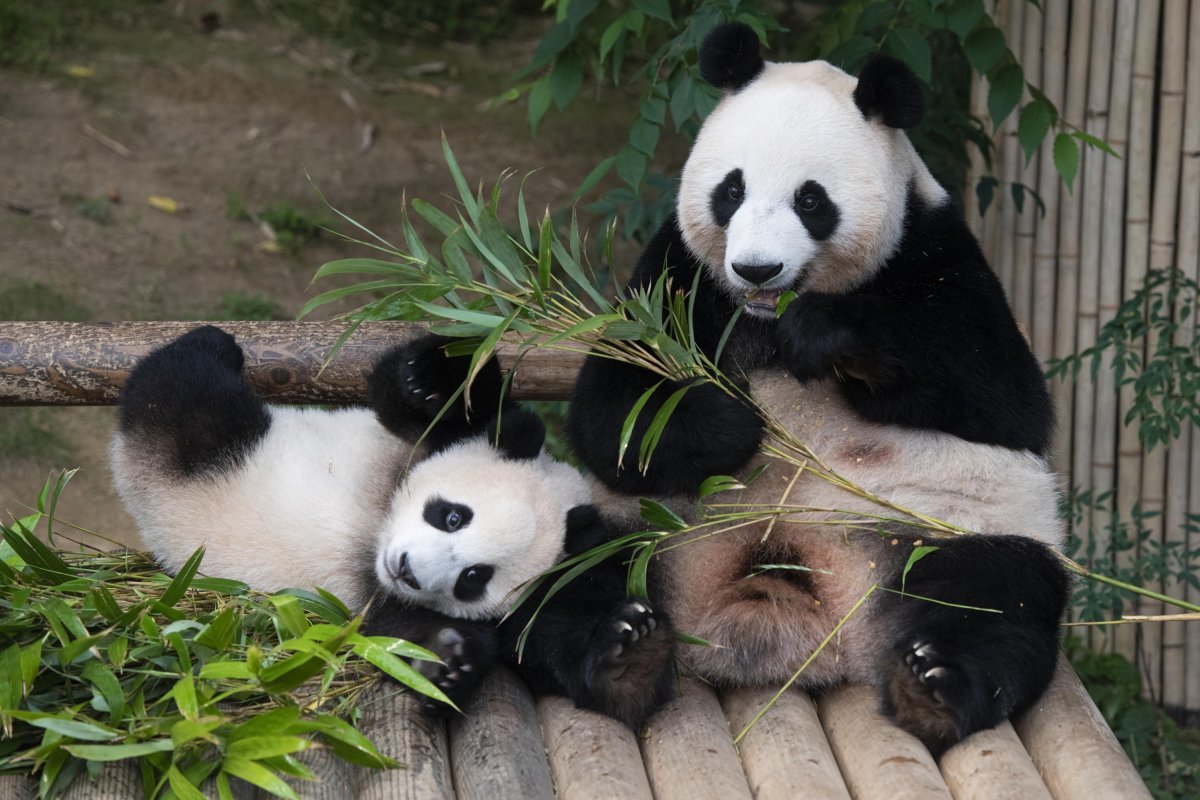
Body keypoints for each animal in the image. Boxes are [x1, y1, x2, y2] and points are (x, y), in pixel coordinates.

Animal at [112, 326, 676, 724]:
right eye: (452, 515)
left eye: (475, 578)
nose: (408, 570)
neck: (375, 533)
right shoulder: (422, 436)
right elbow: (413, 393)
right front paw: (432, 376)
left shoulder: (543, 589)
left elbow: (549, 644)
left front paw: (450, 663)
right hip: (218, 449)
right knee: (185, 390)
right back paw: (215, 342)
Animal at [566, 21, 1075, 753]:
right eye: (730, 190)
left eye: (811, 200)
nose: (756, 269)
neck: (763, 320)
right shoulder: (675, 280)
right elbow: (612, 409)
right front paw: (733, 422)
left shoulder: (936, 254)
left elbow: (1002, 398)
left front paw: (827, 336)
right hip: (645, 528)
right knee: (572, 576)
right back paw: (621, 657)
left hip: (946, 529)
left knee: (997, 597)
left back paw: (934, 687)